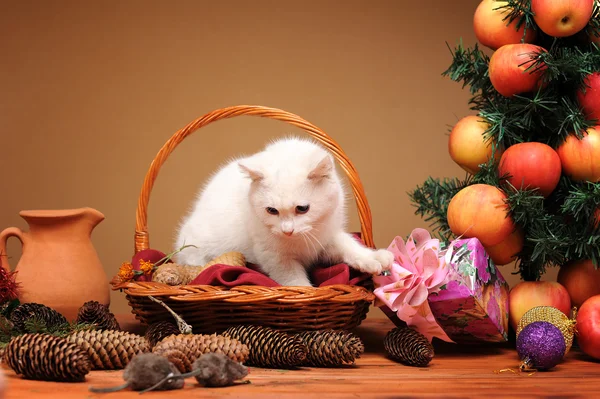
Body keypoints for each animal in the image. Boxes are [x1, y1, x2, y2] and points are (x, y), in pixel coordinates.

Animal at [173, 136, 394, 286]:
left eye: (302, 209)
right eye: (271, 210)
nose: (287, 230)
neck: (300, 241)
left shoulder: (326, 237)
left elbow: (348, 245)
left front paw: (372, 258)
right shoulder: (274, 257)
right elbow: (294, 281)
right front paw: (306, 294)